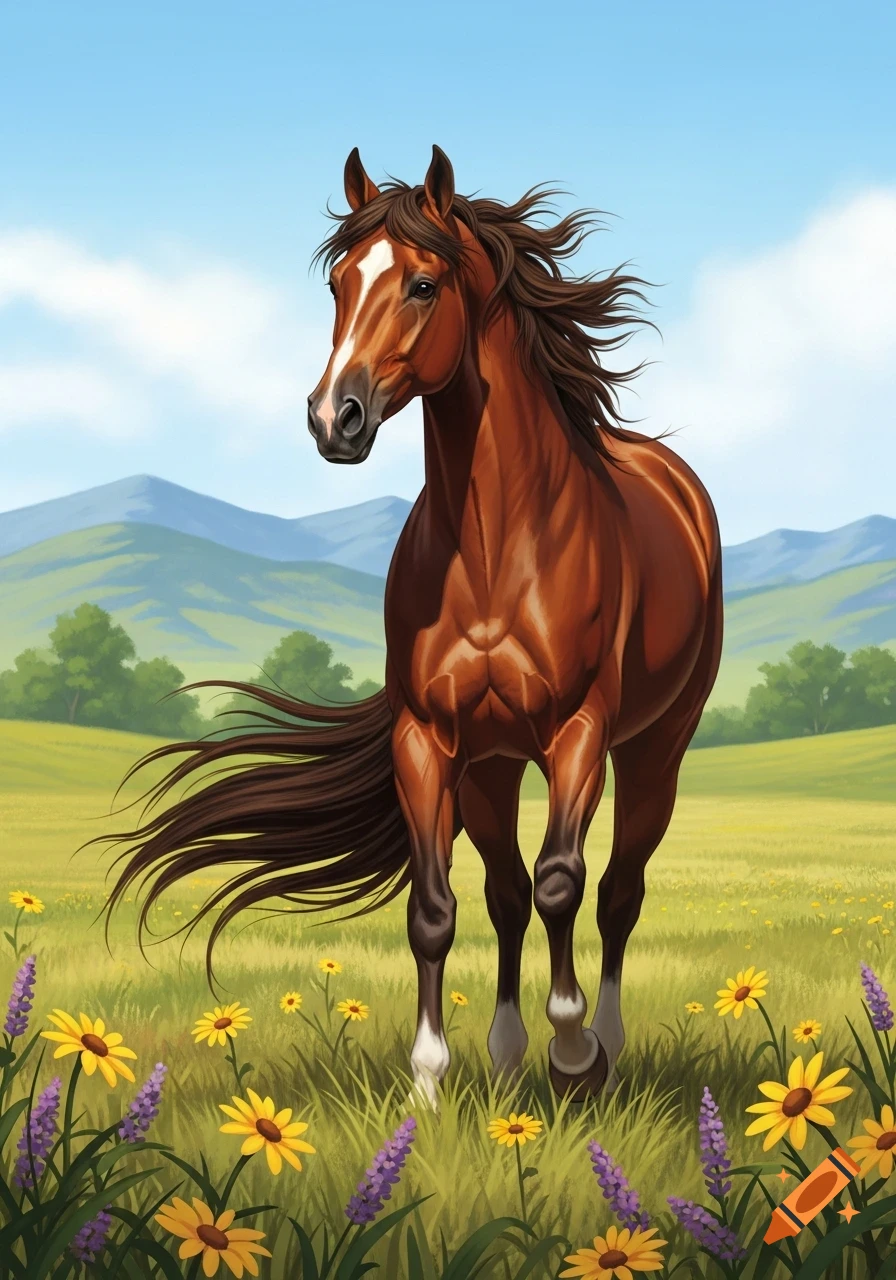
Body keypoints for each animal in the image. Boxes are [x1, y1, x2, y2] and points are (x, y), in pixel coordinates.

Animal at [101, 145, 722, 1108]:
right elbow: (438, 911)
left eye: (424, 284)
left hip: (656, 746)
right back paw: (504, 1054)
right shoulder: (428, 740)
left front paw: (572, 1050)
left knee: (618, 890)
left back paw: (606, 1051)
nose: (334, 417)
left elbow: (564, 883)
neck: (499, 544)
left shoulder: (579, 733)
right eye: (338, 284)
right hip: (493, 768)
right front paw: (430, 1084)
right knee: (505, 893)